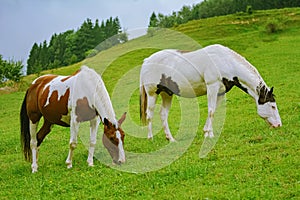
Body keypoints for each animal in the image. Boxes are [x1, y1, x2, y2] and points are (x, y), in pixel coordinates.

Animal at [140, 44, 282, 141]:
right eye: (273, 106)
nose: (279, 125)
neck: (225, 61)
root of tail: (146, 61)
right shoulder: (212, 87)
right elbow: (211, 111)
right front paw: (210, 134)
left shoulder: (220, 93)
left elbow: (213, 111)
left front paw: (207, 132)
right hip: (153, 94)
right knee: (149, 115)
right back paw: (150, 138)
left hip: (167, 94)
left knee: (163, 114)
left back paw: (171, 139)